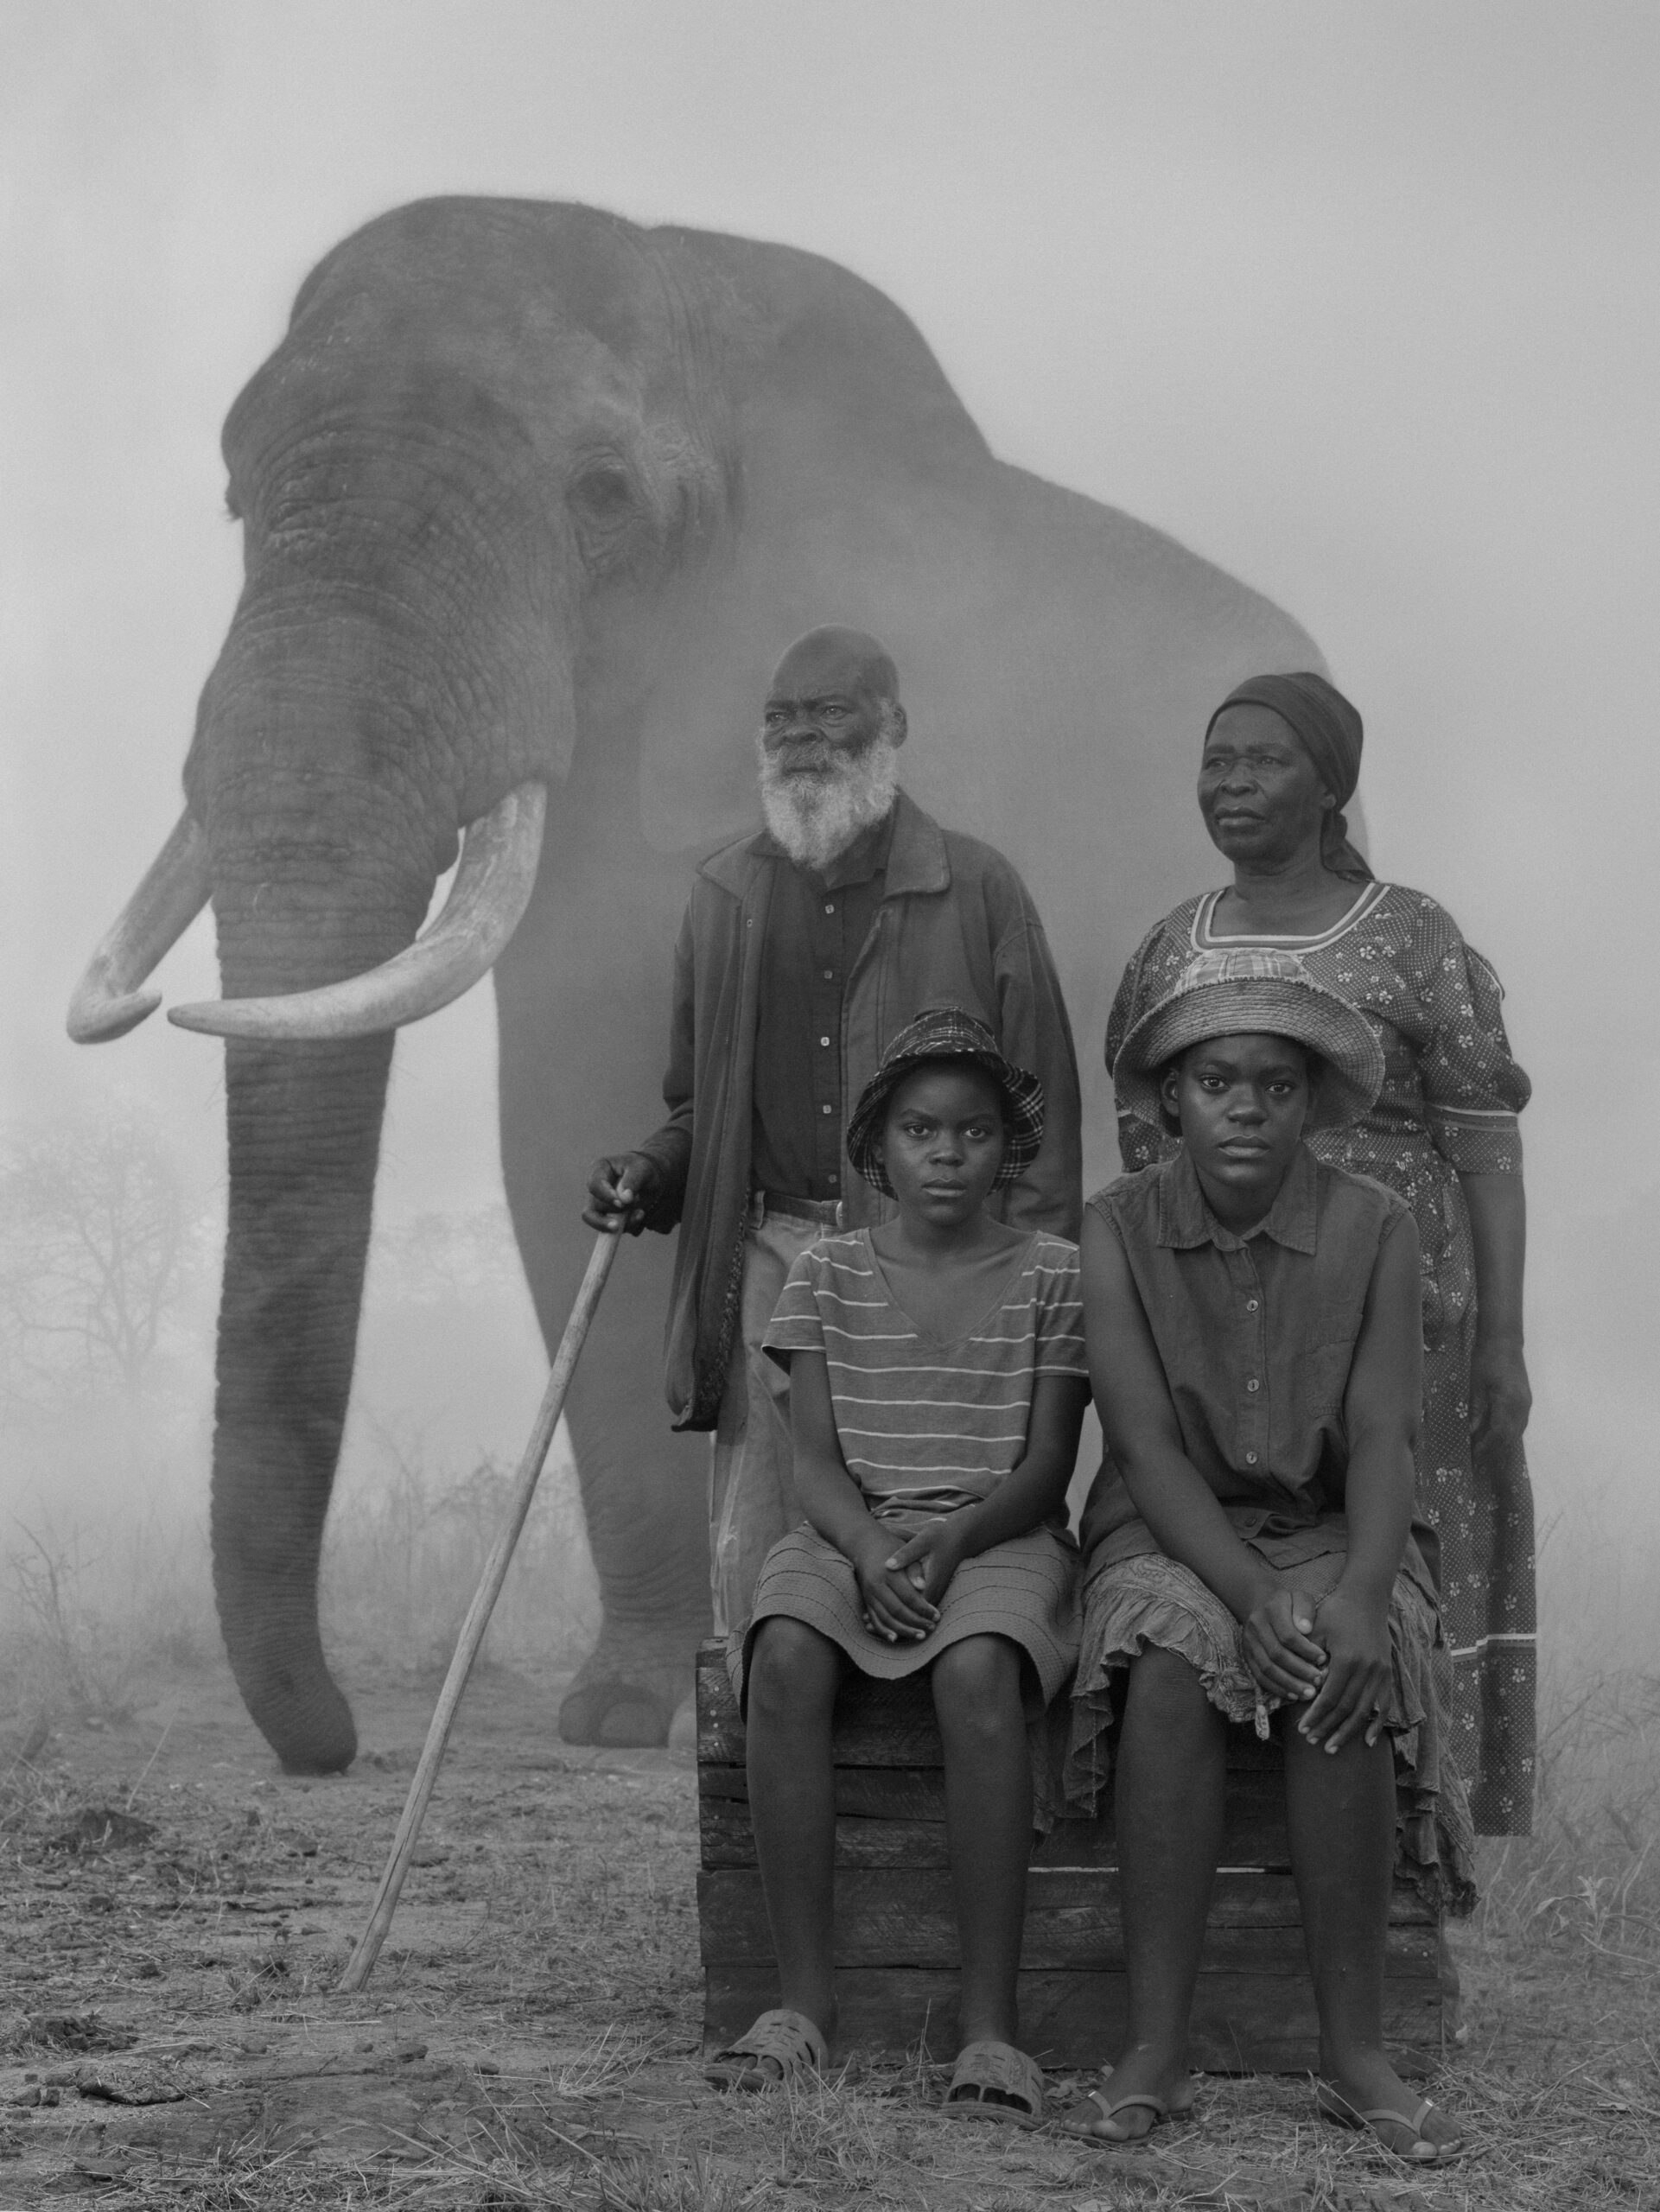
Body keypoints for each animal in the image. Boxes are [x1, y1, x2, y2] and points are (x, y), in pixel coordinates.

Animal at [71, 199, 1327, 1770]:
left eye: (605, 497)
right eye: (238, 499)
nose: (336, 1743)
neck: (705, 294)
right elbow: (559, 1129)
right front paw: (618, 1716)